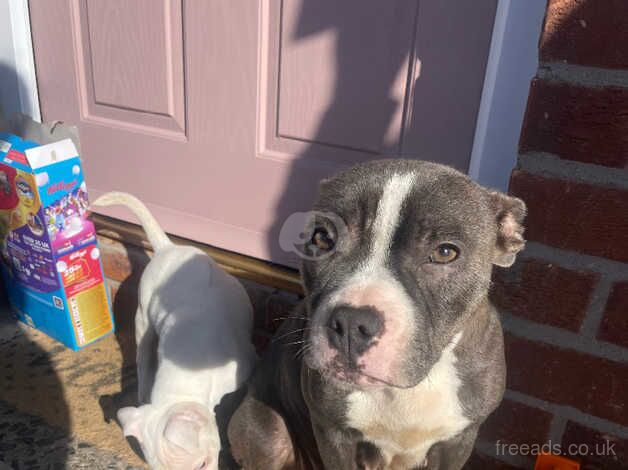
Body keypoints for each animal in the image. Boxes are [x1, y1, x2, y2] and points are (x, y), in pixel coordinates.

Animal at [228, 160, 528, 468]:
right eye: (322, 238)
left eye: (445, 252)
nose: (351, 322)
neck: (411, 387)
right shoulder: (334, 435)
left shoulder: (458, 441)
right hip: (264, 433)